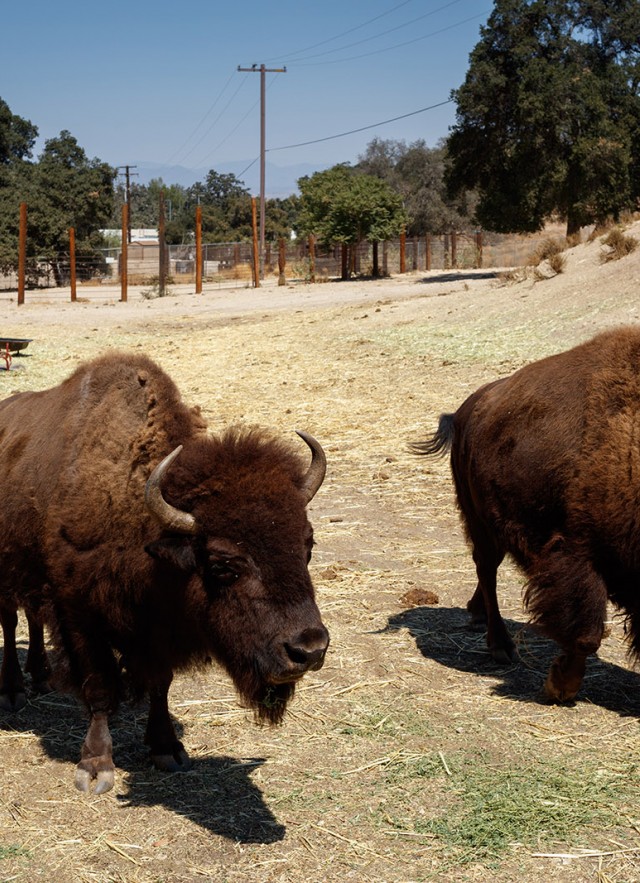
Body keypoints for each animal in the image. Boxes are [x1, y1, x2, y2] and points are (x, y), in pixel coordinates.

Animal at [0, 352, 330, 796]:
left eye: (307, 546)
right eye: (222, 564)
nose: (308, 649)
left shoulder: (159, 630)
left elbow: (161, 684)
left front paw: (166, 748)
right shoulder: (79, 616)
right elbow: (100, 687)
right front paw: (95, 766)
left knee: (31, 619)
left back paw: (41, 676)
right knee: (10, 621)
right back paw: (14, 691)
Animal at [412, 328, 640, 708]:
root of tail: (466, 410)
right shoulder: (576, 557)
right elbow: (585, 634)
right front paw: (559, 686)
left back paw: (476, 614)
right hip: (480, 522)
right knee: (487, 571)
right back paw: (500, 646)